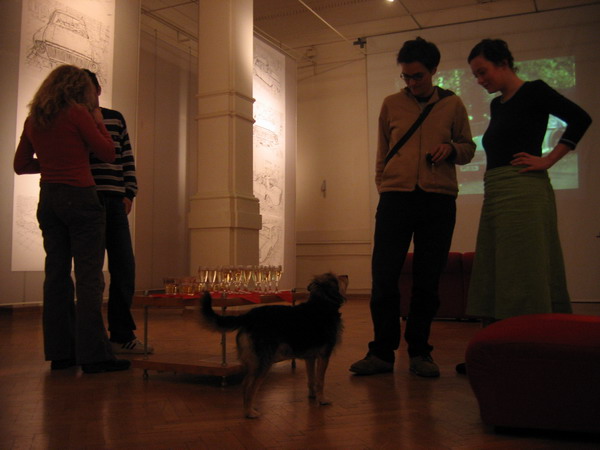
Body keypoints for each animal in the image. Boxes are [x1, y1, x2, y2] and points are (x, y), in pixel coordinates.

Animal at [200, 272, 348, 418]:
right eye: (336, 278)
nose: (346, 275)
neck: (322, 303)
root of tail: (249, 316)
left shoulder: (310, 357)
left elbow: (312, 379)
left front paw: (312, 396)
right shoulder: (324, 355)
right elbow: (320, 380)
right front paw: (322, 399)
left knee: (246, 384)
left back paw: (248, 408)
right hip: (264, 361)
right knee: (250, 385)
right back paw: (249, 412)